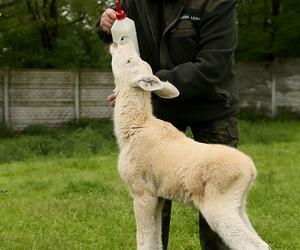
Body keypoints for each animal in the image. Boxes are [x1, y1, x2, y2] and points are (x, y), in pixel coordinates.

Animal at [109, 36, 270, 250]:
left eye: (128, 61)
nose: (120, 40)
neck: (136, 127)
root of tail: (251, 171)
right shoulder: (159, 196)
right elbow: (157, 238)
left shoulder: (142, 191)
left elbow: (144, 240)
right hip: (239, 205)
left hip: (219, 205)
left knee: (254, 245)